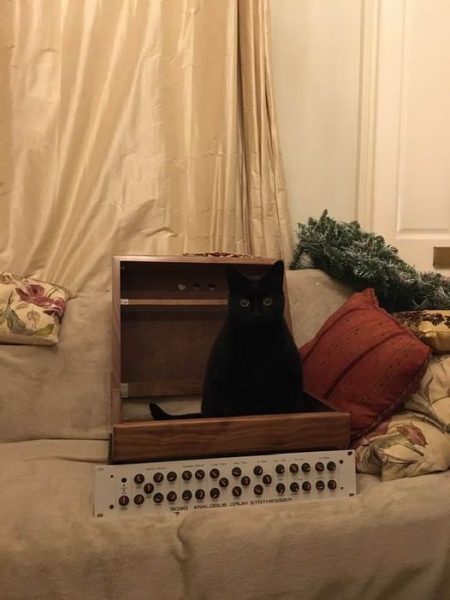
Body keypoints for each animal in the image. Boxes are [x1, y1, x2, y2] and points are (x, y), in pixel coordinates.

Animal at [149, 260, 312, 420]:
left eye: (268, 301)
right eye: (244, 302)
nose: (256, 314)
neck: (256, 341)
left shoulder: (290, 369)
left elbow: (286, 398)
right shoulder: (224, 370)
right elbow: (228, 401)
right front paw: (233, 414)